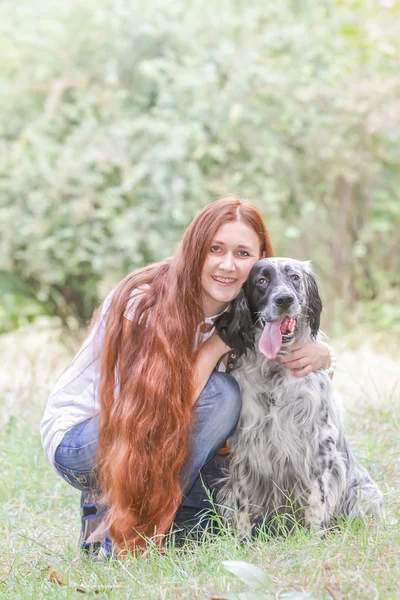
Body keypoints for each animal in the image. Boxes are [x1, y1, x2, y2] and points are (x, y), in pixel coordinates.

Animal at [214, 256, 382, 536]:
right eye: (261, 280)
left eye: (294, 277)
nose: (284, 299)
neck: (275, 368)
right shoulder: (245, 441)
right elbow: (241, 500)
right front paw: (242, 538)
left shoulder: (318, 439)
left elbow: (317, 496)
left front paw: (315, 536)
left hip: (364, 492)